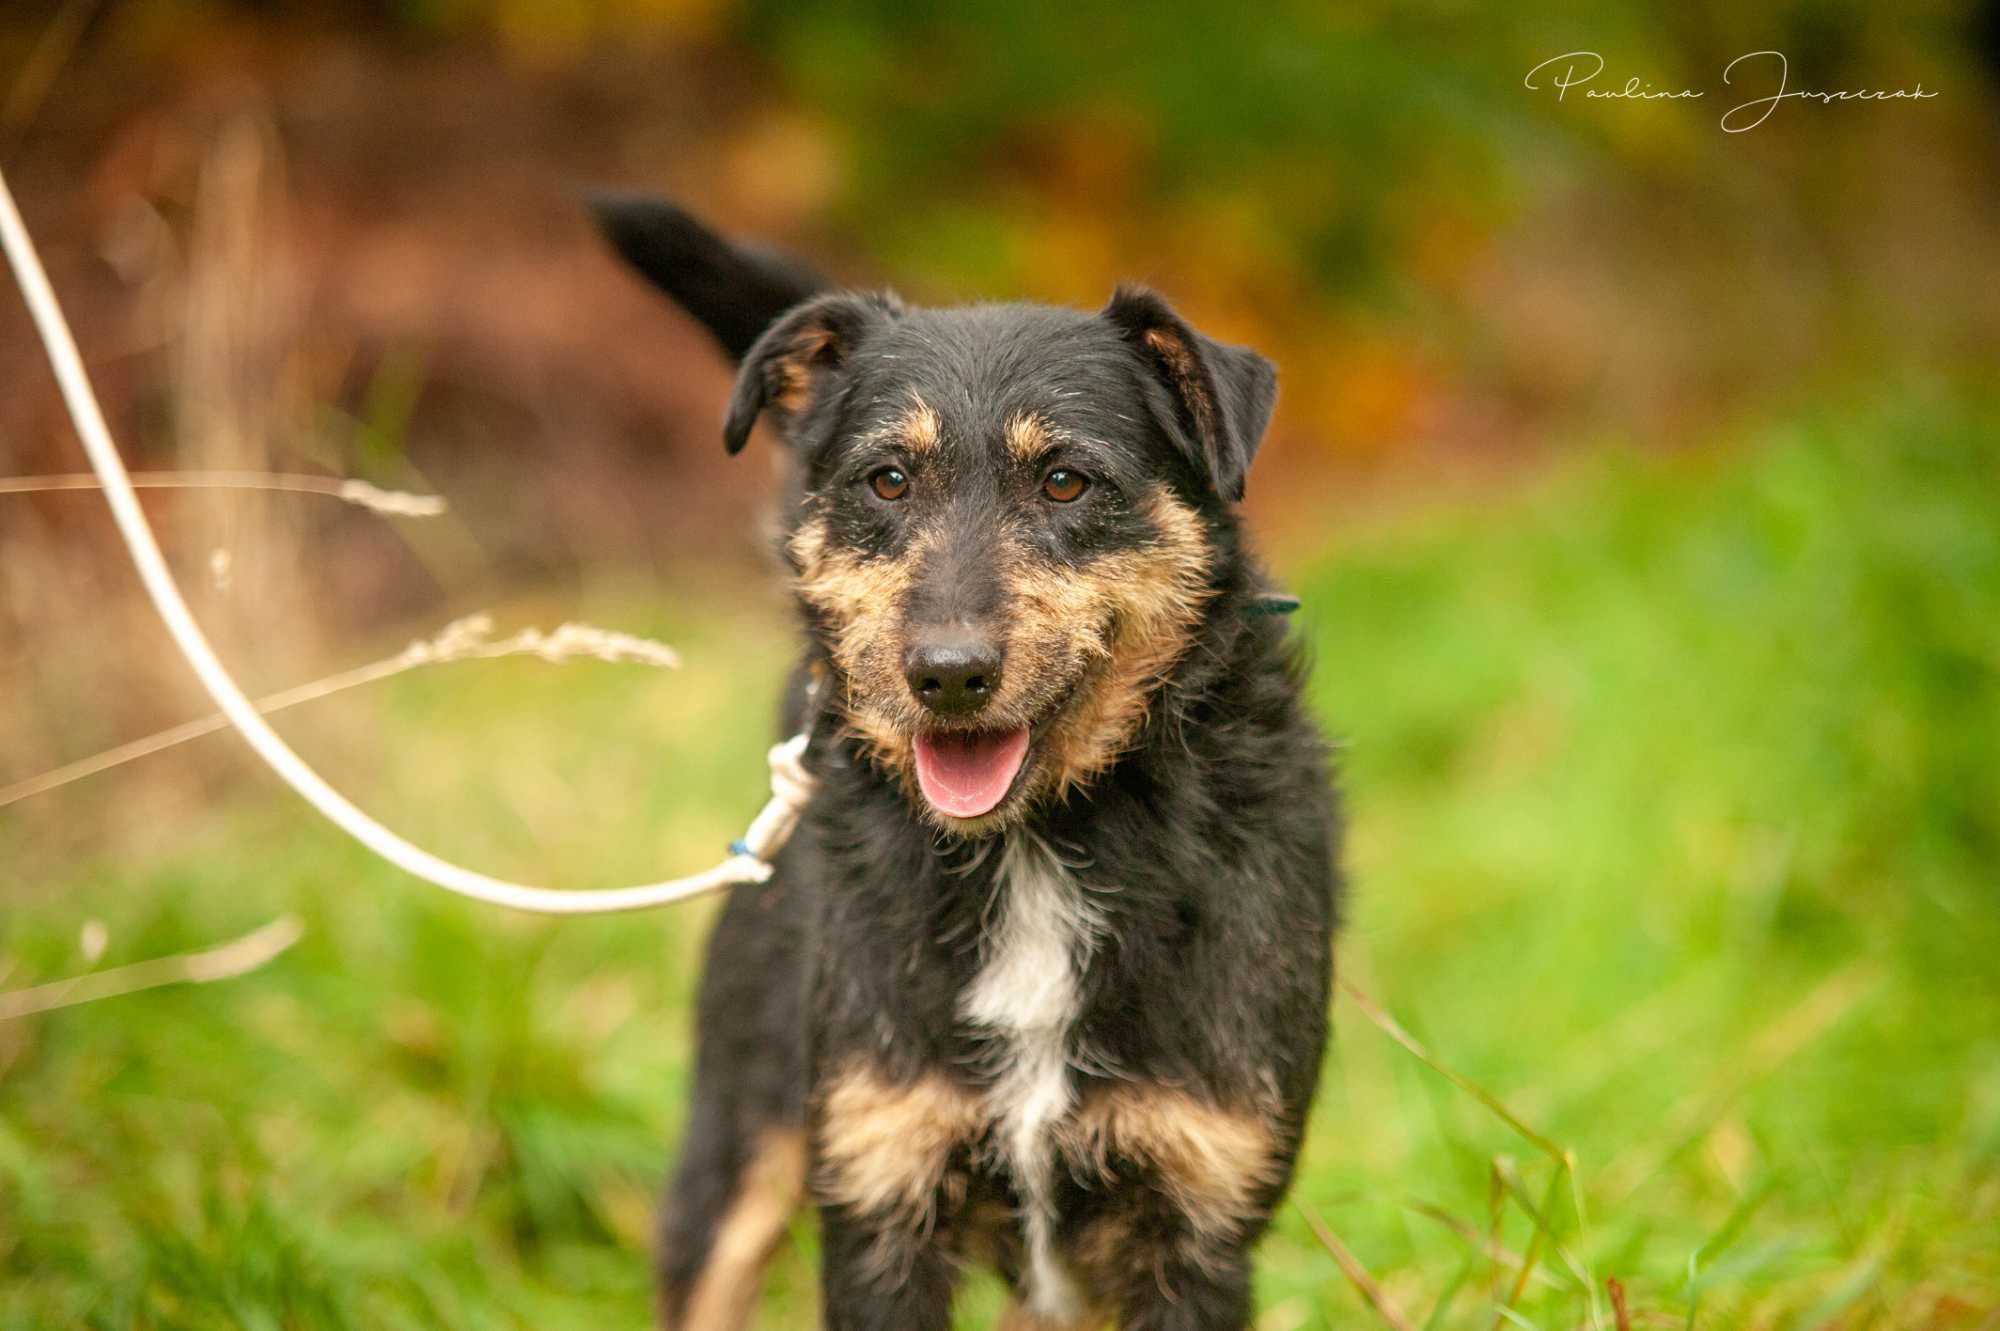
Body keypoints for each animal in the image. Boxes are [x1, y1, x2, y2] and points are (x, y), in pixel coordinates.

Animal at [592, 196, 1344, 1327]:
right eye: (888, 478)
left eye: (1066, 479)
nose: (946, 673)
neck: (1032, 848)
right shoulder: (880, 1193)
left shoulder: (1195, 1217)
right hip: (737, 1145)